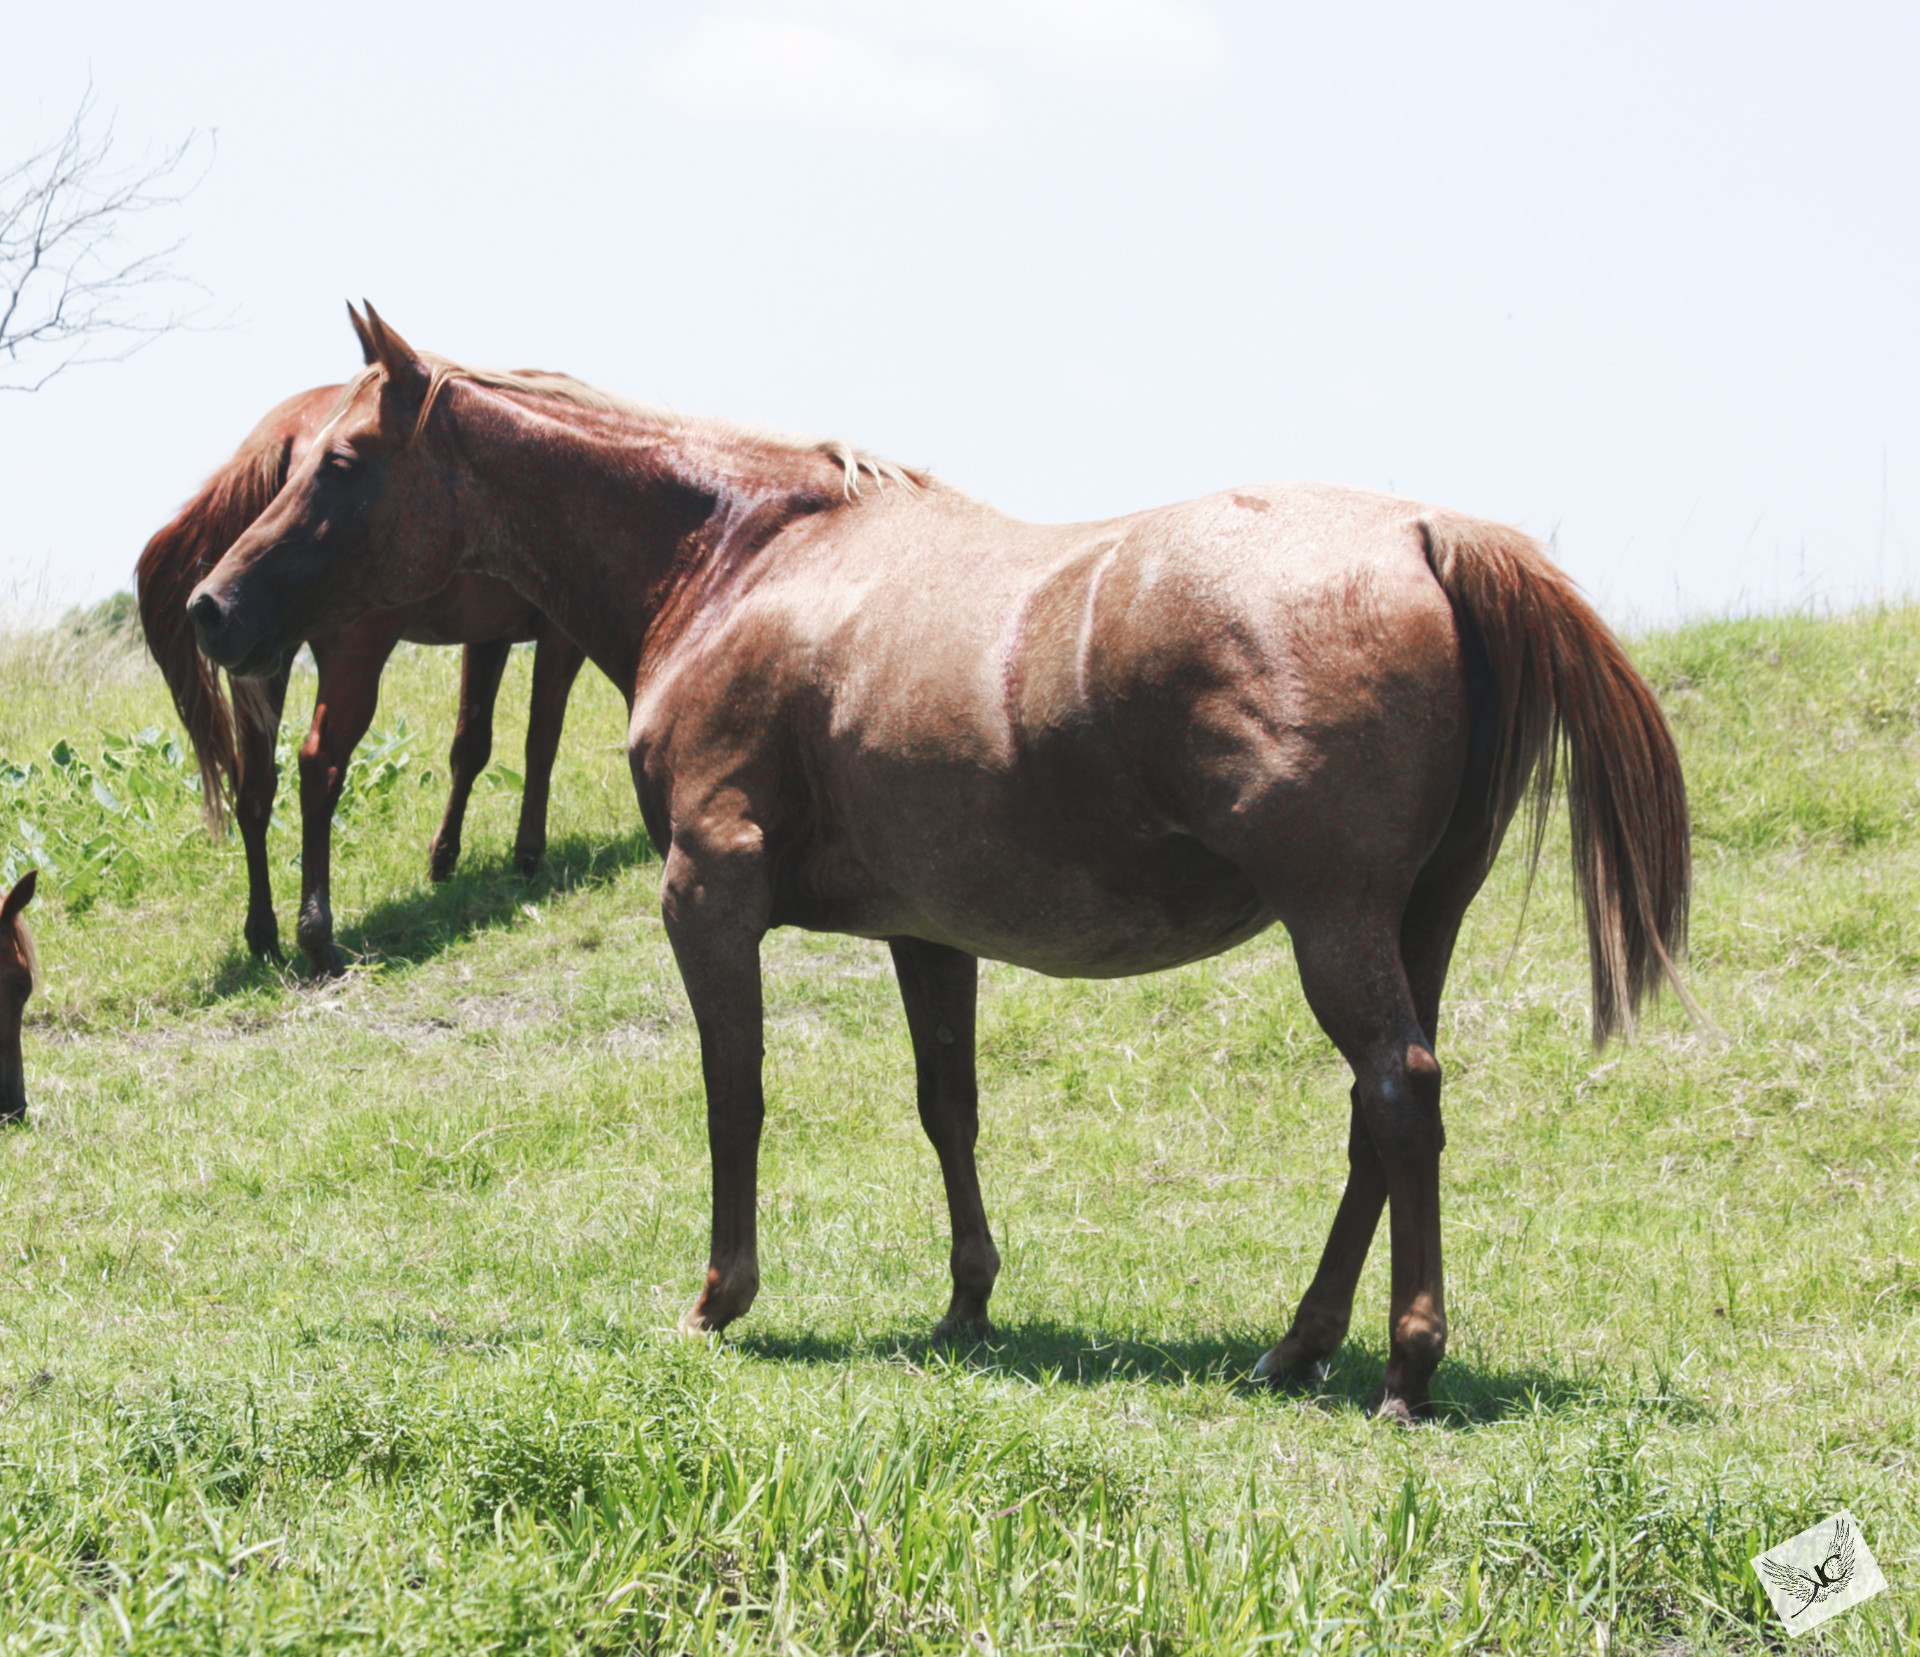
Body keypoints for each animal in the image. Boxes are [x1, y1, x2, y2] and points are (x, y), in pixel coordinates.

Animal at [137, 377, 589, 975]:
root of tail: (279, 436)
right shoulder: (560, 638)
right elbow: (542, 741)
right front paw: (528, 853)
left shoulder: (486, 637)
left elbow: (471, 746)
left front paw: (444, 858)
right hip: (353, 657)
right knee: (319, 767)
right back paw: (317, 935)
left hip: (259, 669)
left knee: (255, 784)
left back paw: (264, 934)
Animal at [188, 304, 1695, 1419]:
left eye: (340, 464)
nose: (211, 607)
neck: (742, 557)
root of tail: (1429, 536)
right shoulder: (930, 932)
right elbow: (947, 1108)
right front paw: (968, 1301)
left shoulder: (708, 896)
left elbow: (735, 1097)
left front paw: (721, 1294)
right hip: (1412, 923)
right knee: (1379, 1121)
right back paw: (1299, 1344)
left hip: (1335, 923)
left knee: (1395, 1092)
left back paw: (1398, 1365)